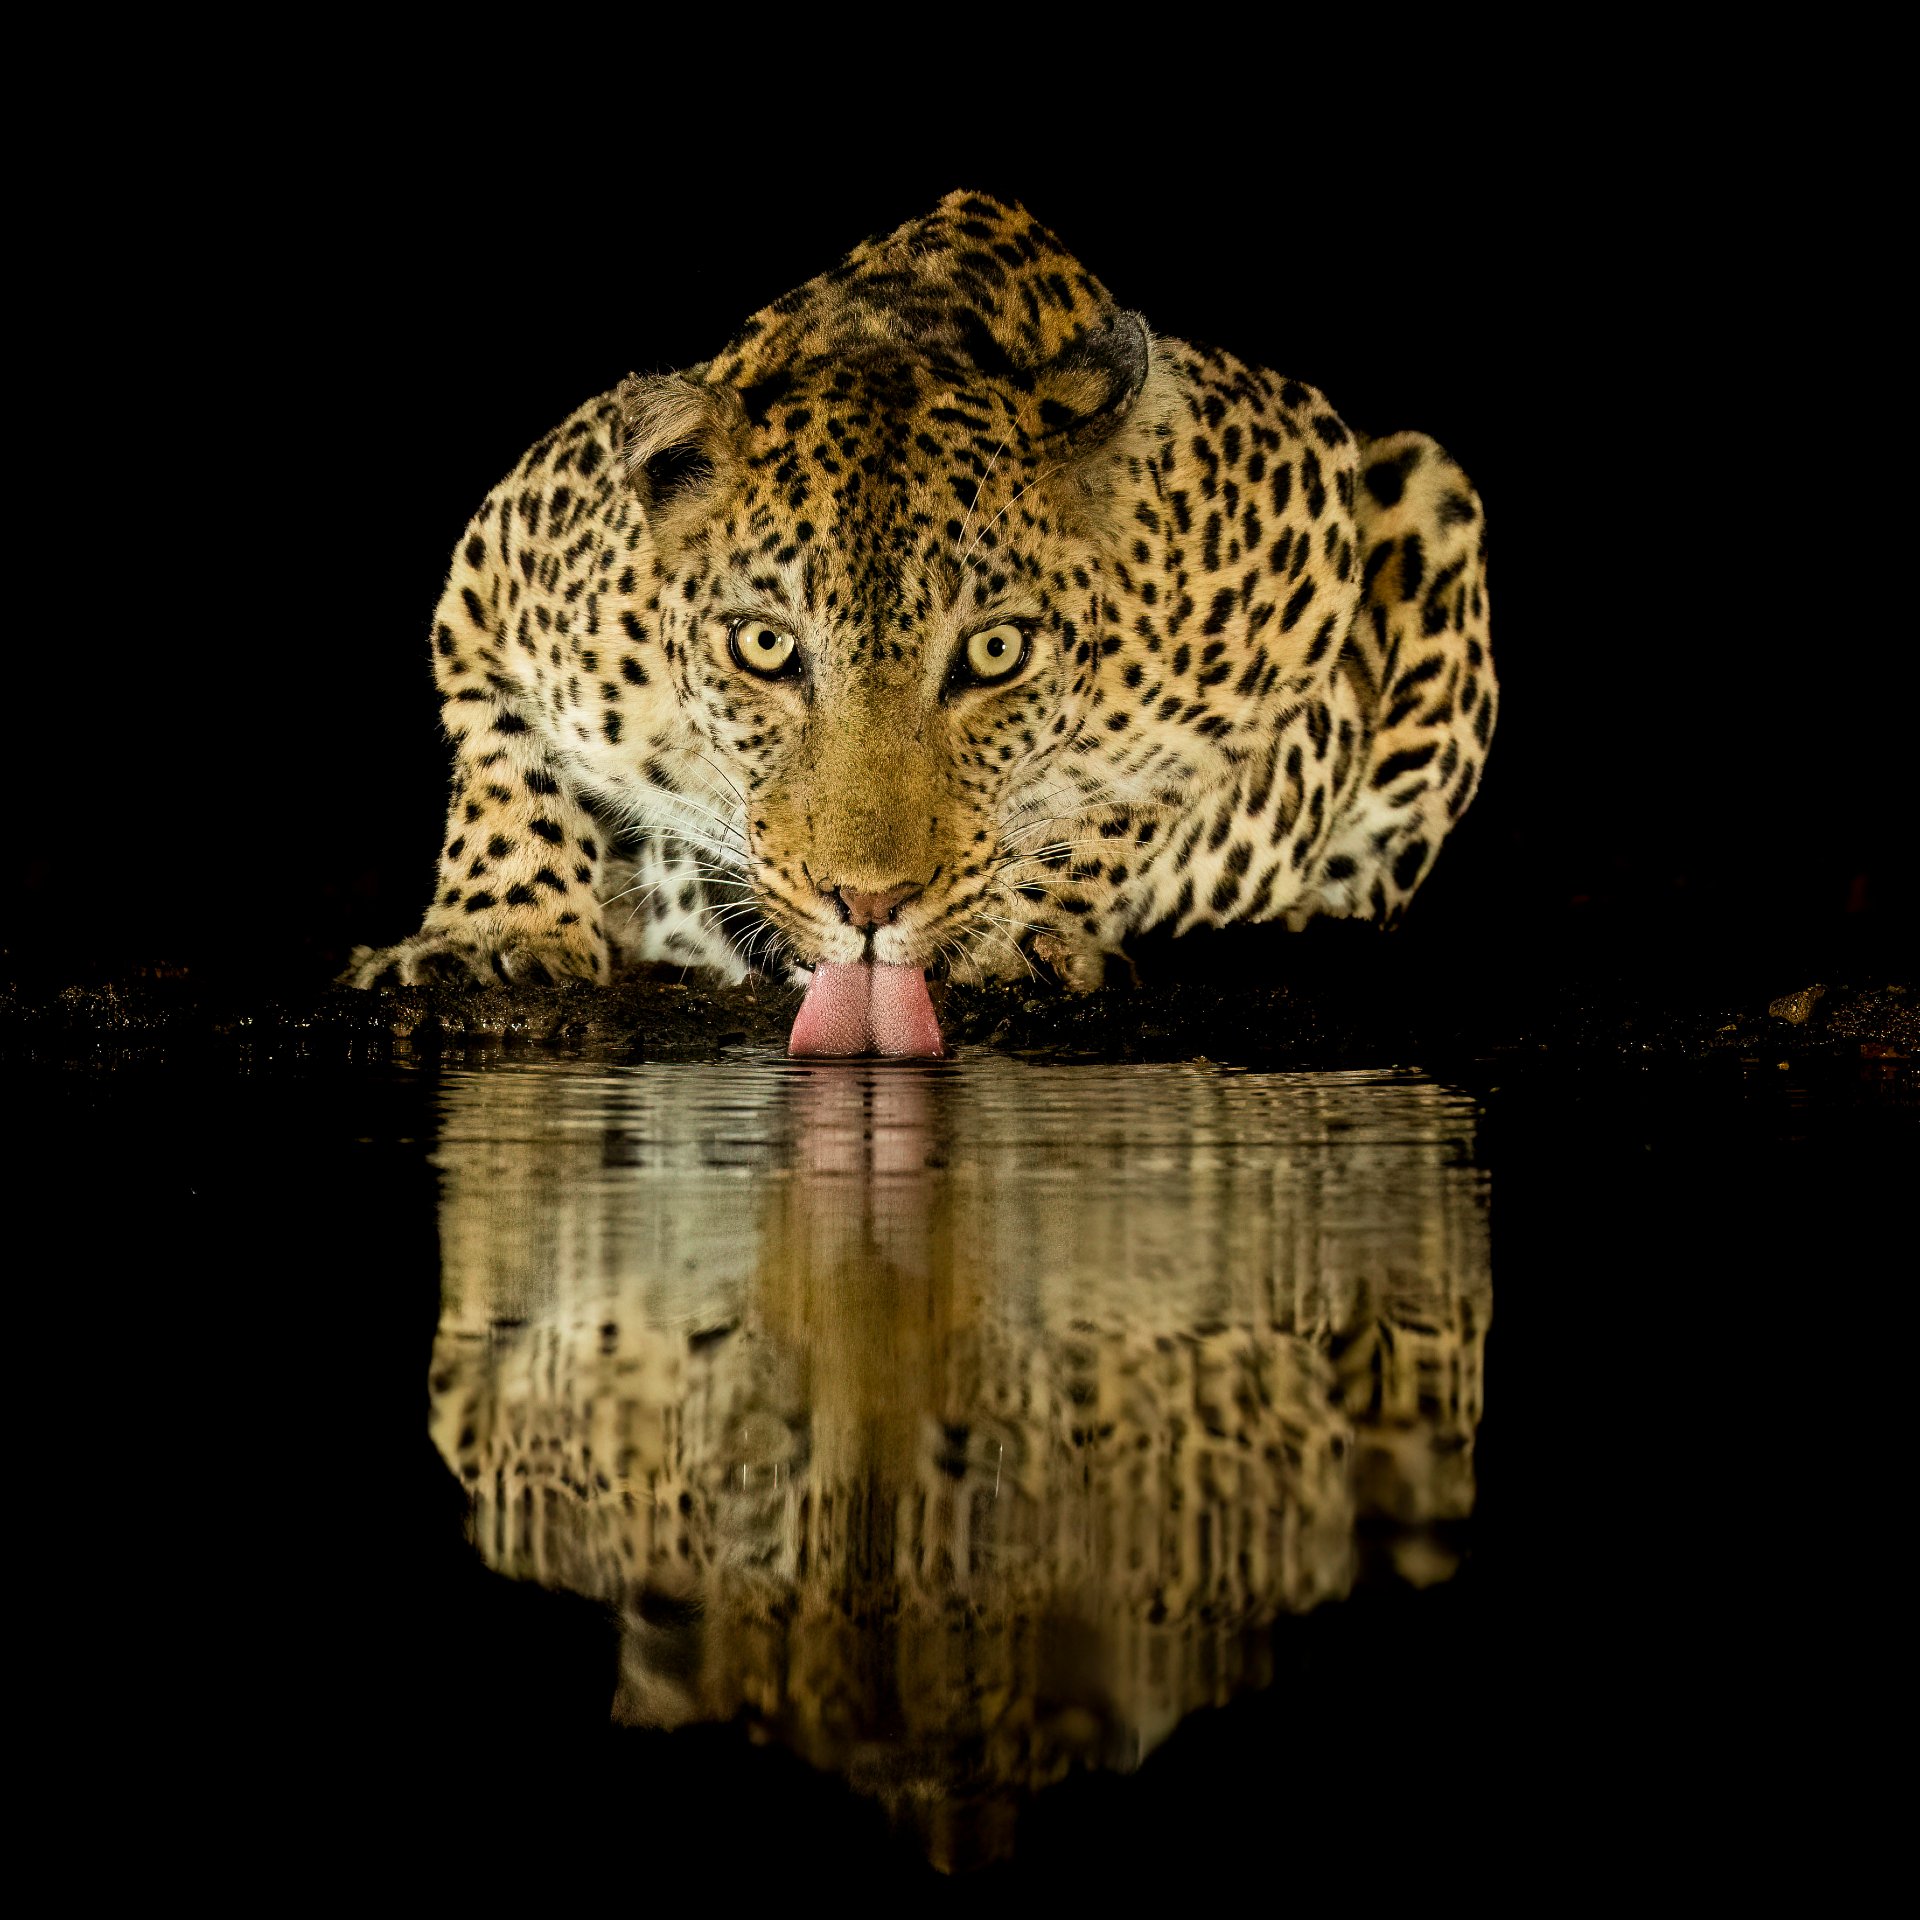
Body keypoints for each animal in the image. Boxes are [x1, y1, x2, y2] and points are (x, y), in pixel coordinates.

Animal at [343, 190, 1496, 1053]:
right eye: (764, 645)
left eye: (996, 652)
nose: (868, 907)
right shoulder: (503, 567)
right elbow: (506, 755)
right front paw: (498, 929)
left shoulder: (1300, 522)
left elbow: (1135, 790)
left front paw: (1024, 927)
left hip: (1428, 485)